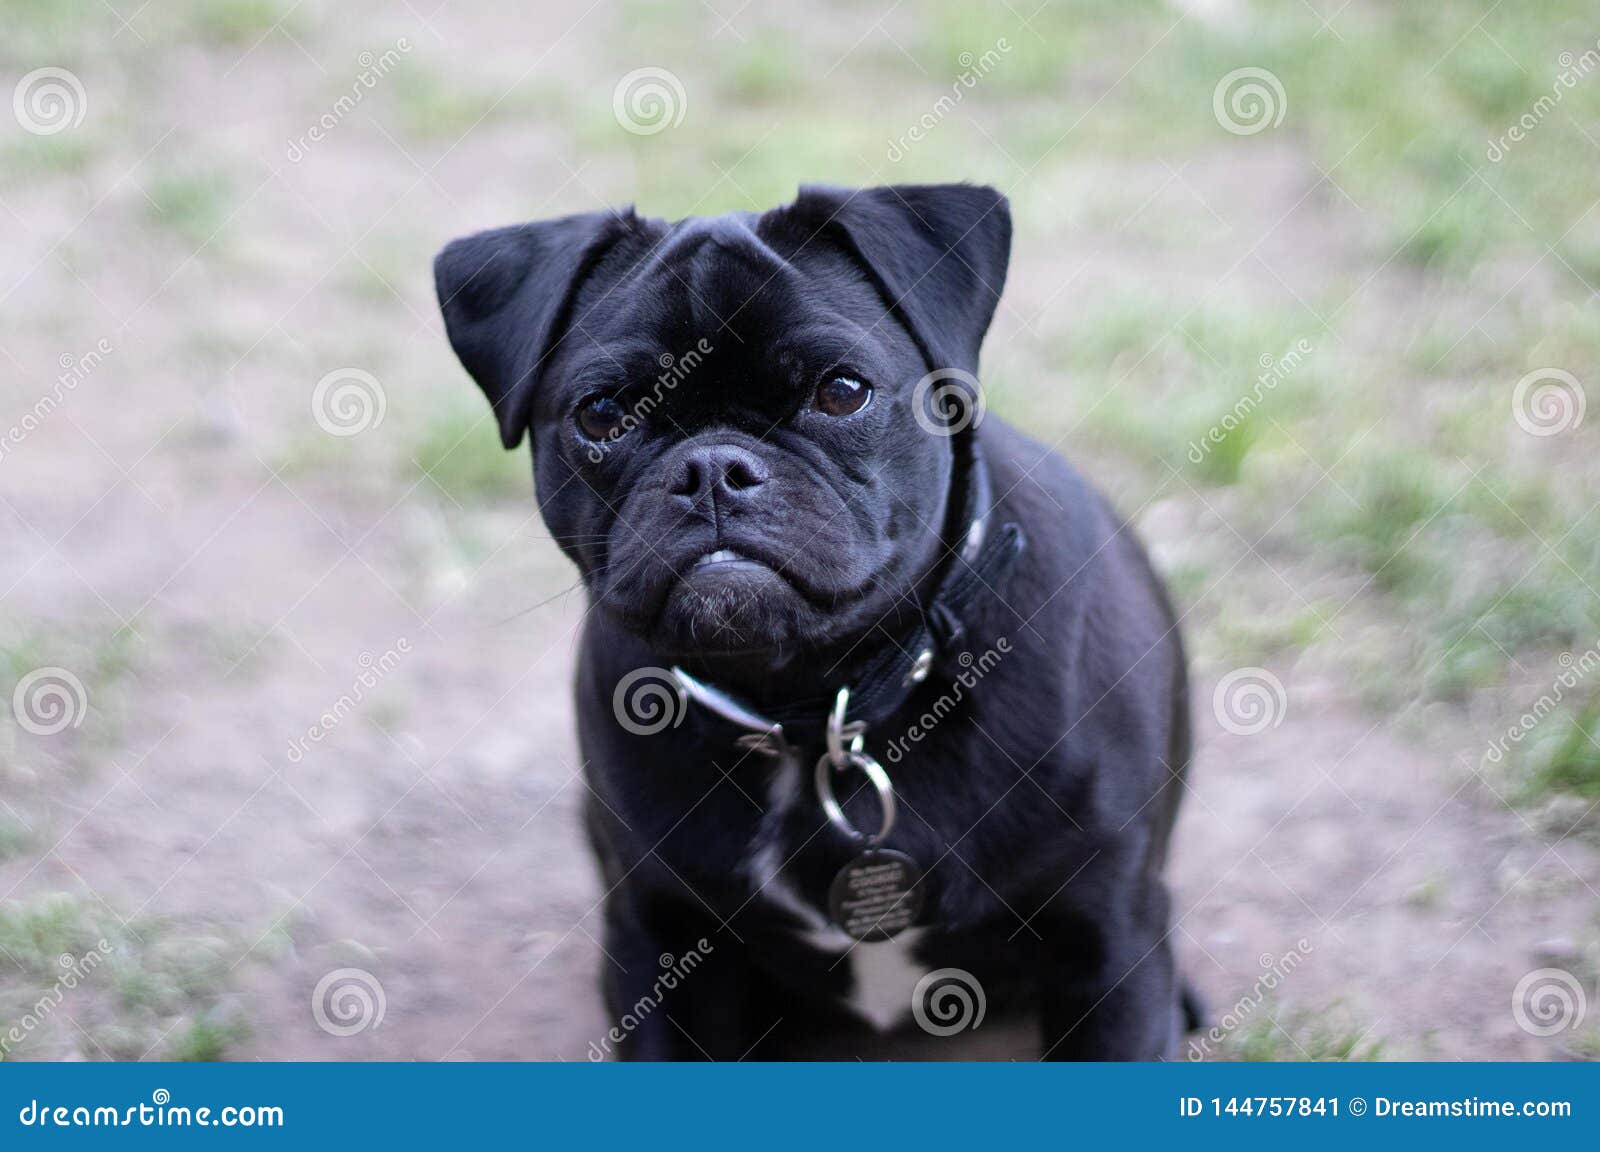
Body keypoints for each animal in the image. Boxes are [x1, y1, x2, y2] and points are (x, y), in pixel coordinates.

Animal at [432, 184, 1196, 1056]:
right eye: (601, 413)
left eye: (841, 391)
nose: (713, 468)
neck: (813, 710)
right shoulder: (658, 947)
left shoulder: (1110, 948)